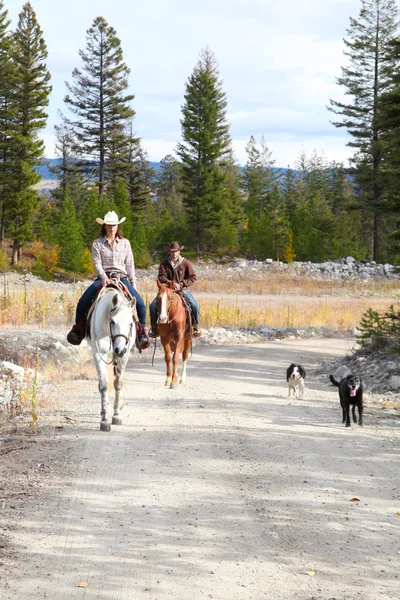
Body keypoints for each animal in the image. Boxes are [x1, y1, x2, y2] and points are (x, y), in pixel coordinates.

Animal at [89, 288, 136, 432]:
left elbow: (118, 383)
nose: (119, 349)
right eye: (113, 322)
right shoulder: (99, 353)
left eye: (131, 323)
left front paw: (116, 415)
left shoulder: (125, 355)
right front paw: (104, 419)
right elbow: (104, 385)